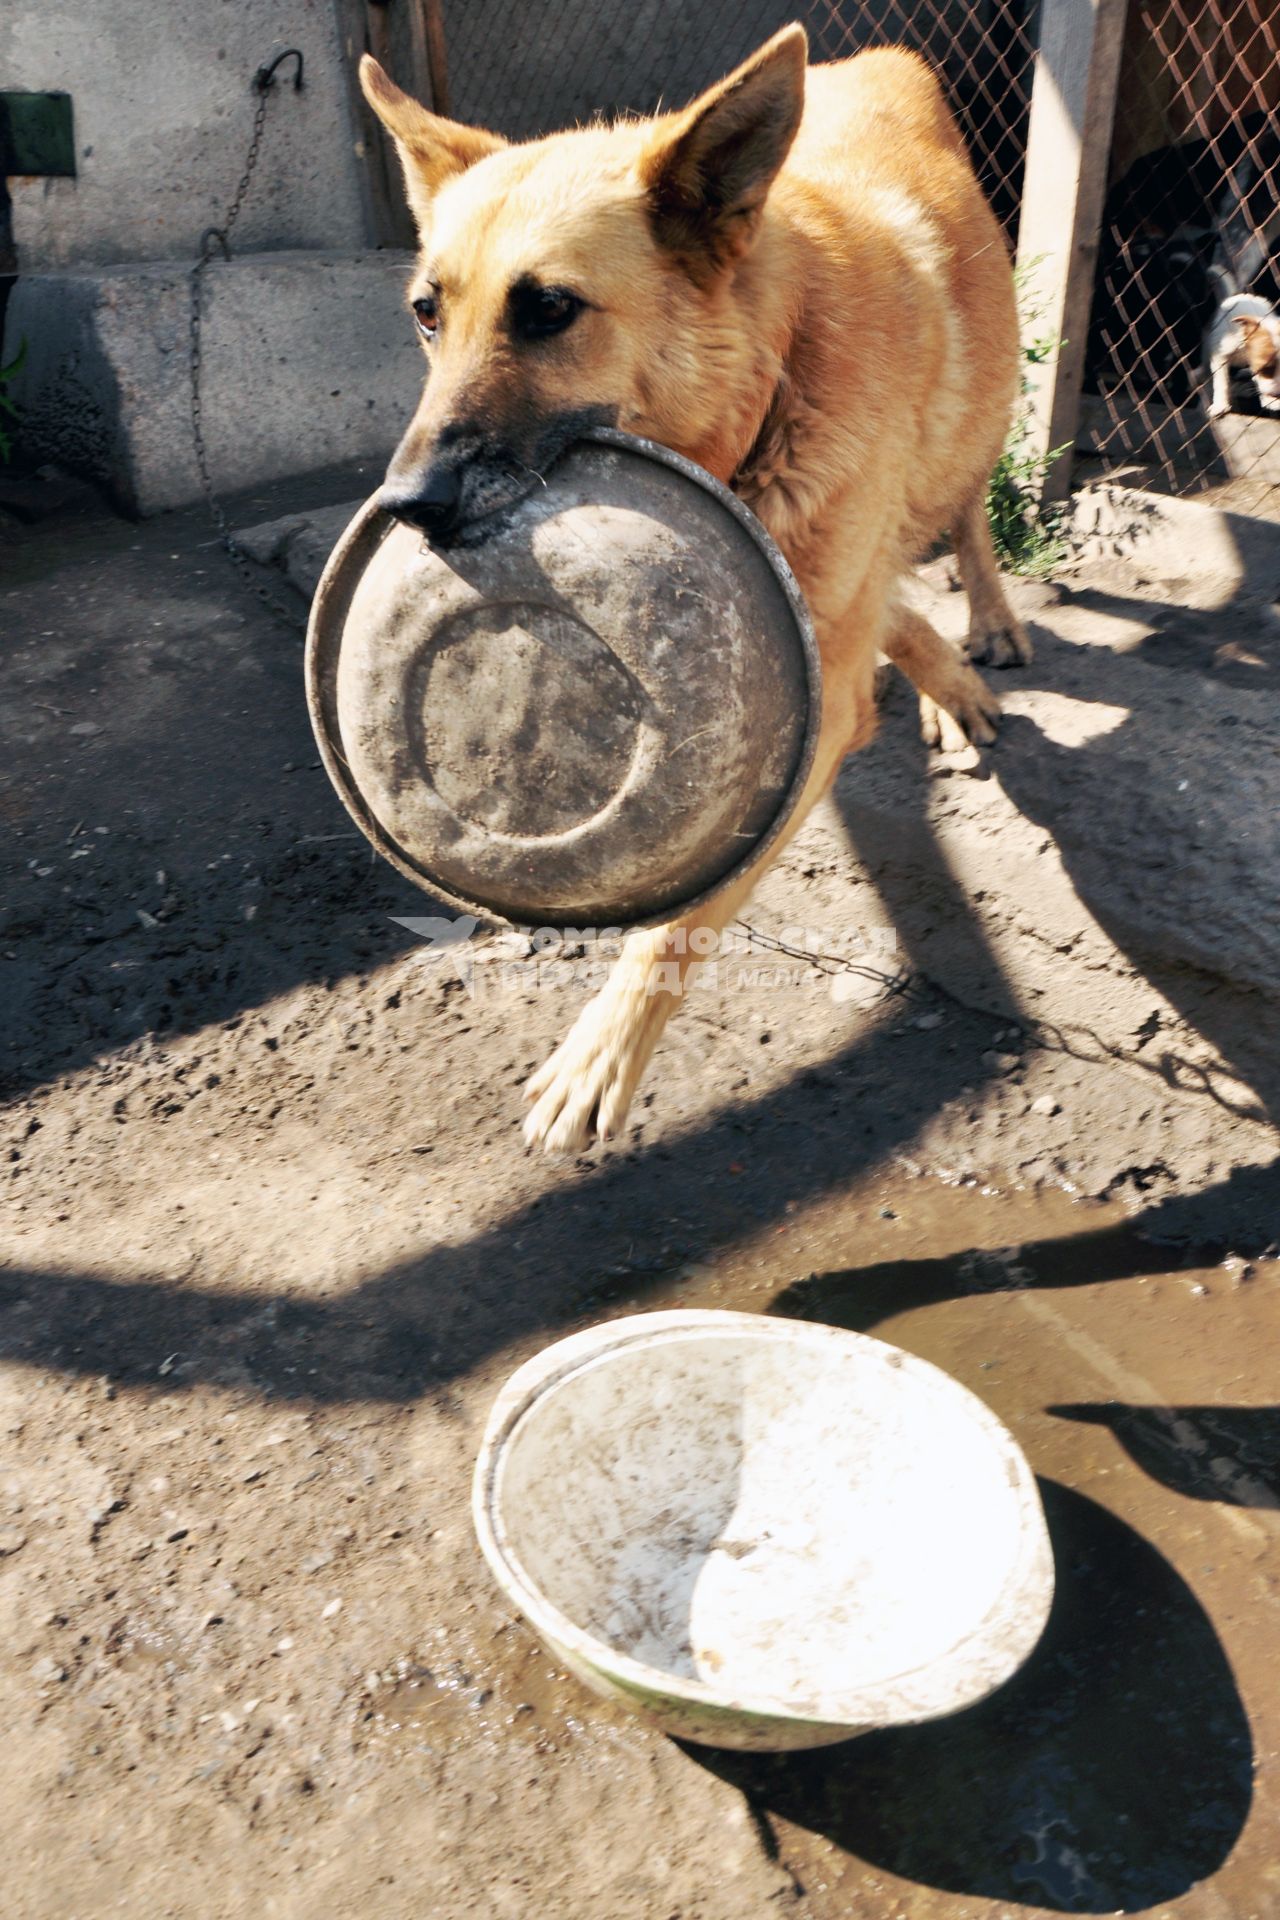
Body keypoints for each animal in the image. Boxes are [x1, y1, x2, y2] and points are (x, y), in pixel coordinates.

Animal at [358, 26, 1028, 1152]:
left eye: (547, 309)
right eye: (423, 314)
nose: (403, 505)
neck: (772, 377)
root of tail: (875, 58)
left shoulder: (817, 712)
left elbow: (674, 922)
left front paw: (598, 1058)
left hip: (977, 426)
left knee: (968, 518)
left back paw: (987, 625)